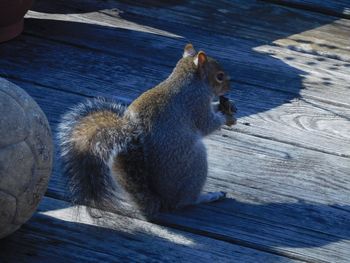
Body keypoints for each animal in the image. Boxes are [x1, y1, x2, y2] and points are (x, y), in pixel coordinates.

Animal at [58, 44, 237, 220]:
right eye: (220, 76)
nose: (230, 87)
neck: (187, 77)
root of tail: (162, 200)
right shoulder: (196, 102)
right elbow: (207, 124)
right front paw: (227, 118)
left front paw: (227, 106)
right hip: (194, 163)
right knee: (185, 202)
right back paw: (209, 196)